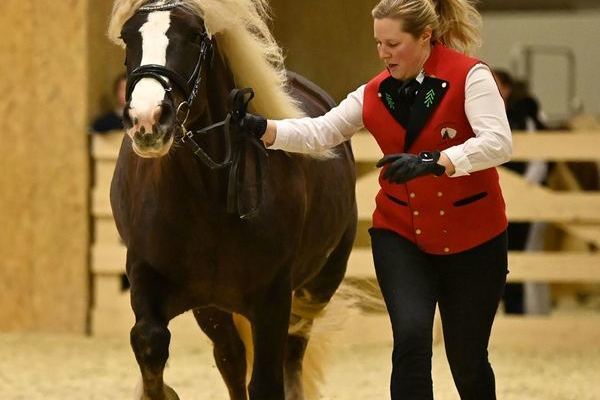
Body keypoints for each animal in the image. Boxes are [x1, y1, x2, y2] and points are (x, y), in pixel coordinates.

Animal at [108, 1, 356, 398]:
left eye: (195, 36)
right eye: (128, 36)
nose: (147, 119)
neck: (205, 198)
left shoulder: (274, 298)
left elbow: (268, 381)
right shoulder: (146, 274)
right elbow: (149, 341)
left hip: (317, 287)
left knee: (292, 354)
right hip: (214, 310)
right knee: (231, 359)